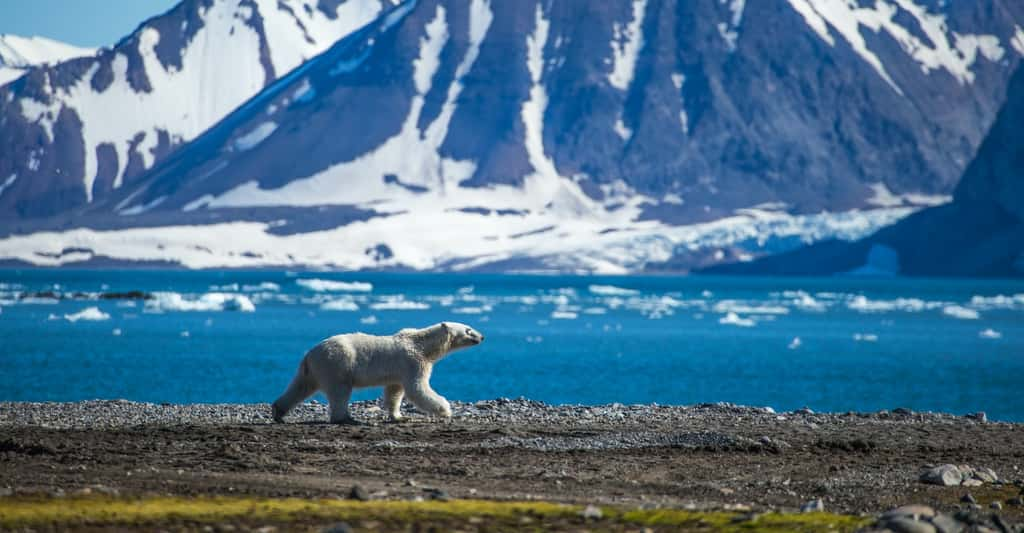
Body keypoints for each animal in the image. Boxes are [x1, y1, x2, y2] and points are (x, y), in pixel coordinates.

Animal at [270, 319, 481, 423]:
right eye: (468, 329)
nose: (482, 337)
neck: (422, 345)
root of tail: (310, 353)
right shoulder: (413, 362)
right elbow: (418, 388)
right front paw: (446, 410)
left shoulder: (399, 371)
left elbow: (395, 392)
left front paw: (399, 416)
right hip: (337, 364)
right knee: (340, 391)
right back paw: (346, 418)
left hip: (313, 369)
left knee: (300, 386)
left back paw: (278, 412)